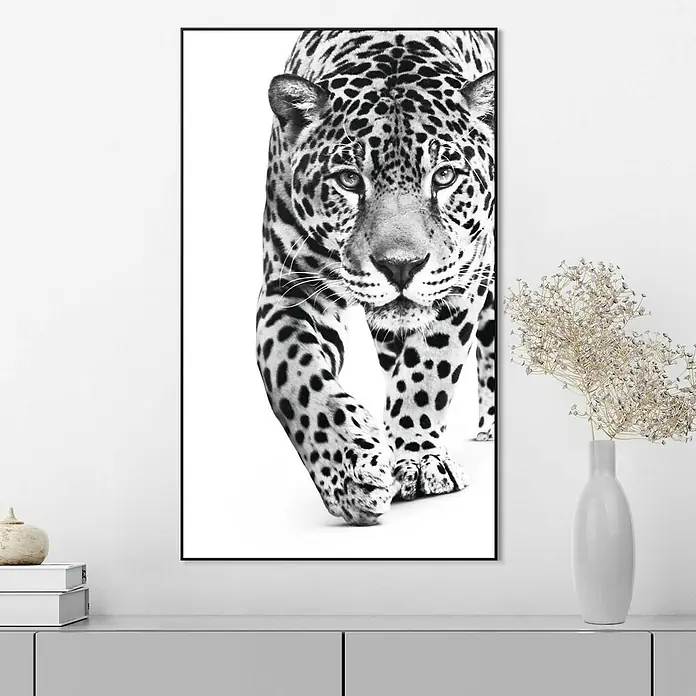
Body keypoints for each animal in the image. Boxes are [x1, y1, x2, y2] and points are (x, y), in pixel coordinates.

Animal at [255, 30, 496, 526]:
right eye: (349, 180)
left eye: (444, 176)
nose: (401, 265)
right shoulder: (288, 291)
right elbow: (297, 379)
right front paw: (349, 474)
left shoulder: (462, 281)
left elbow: (429, 369)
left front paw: (420, 458)